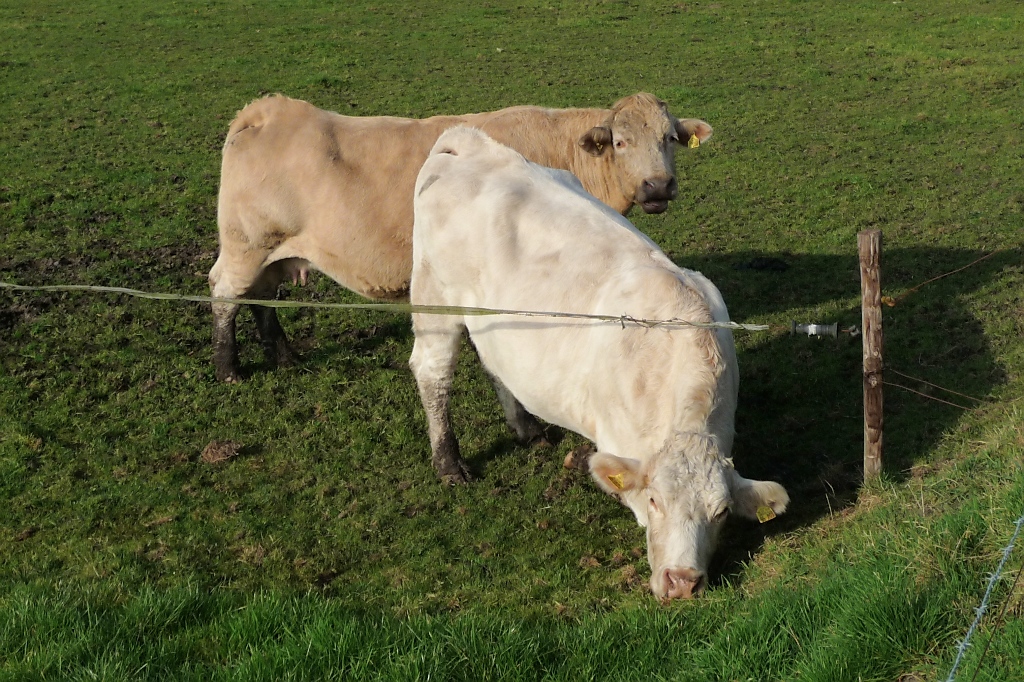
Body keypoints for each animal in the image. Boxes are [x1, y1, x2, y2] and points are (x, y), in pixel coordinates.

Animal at [207, 91, 712, 382]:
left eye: (669, 138)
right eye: (621, 142)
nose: (658, 187)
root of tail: (267, 109)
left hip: (270, 251)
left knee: (260, 297)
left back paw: (284, 357)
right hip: (246, 243)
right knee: (224, 293)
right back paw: (229, 368)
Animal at [409, 125, 790, 593]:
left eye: (720, 513)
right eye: (654, 500)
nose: (682, 582)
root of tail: (467, 140)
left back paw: (527, 429)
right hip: (435, 300)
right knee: (433, 372)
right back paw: (449, 463)